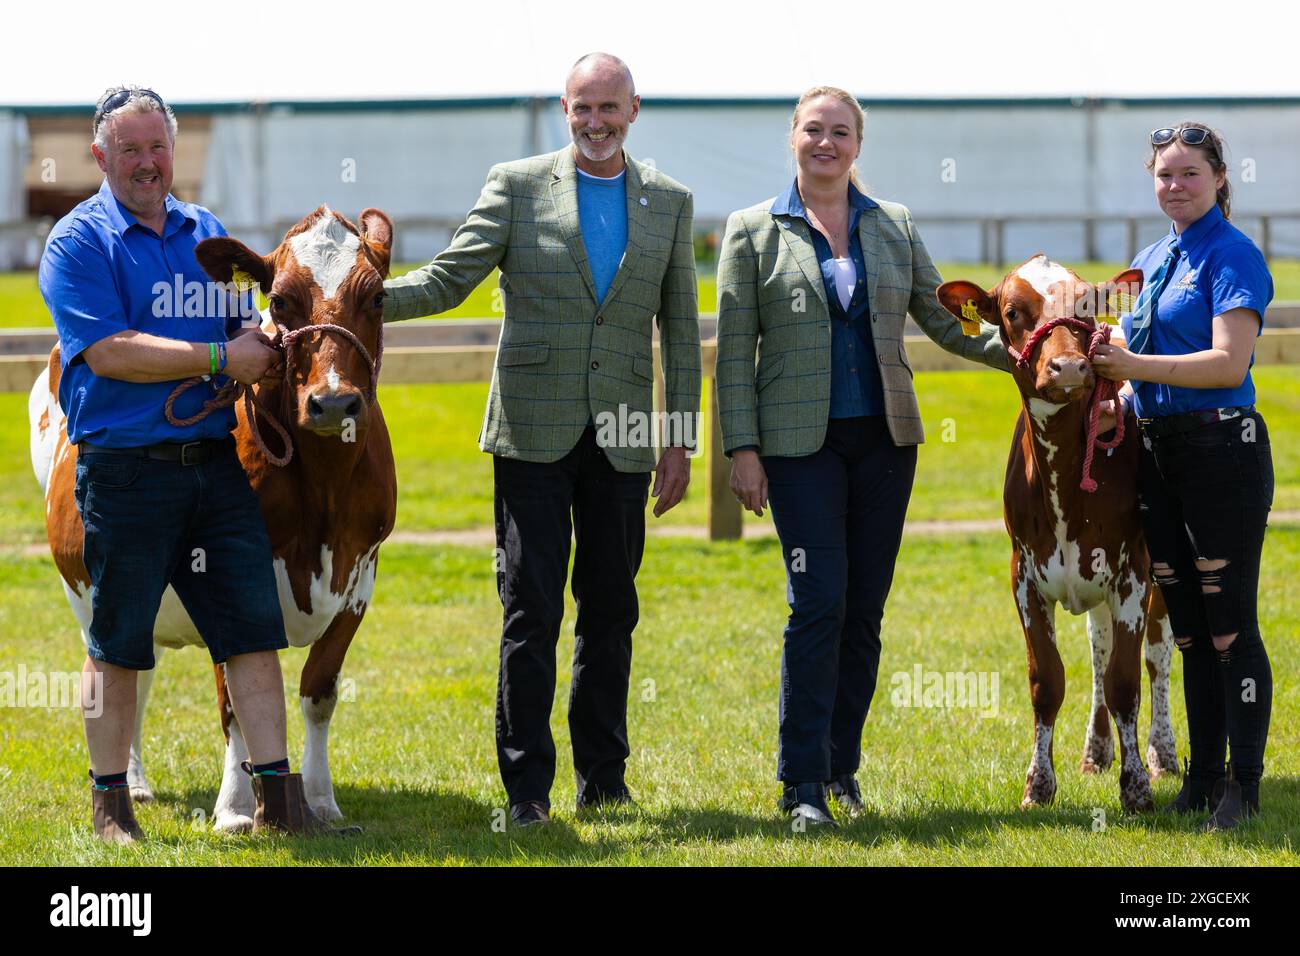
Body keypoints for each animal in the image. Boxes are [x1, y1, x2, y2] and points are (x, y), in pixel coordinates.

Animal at [29, 208, 395, 832]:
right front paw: (235, 808)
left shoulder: (359, 578)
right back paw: (131, 783)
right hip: (90, 591)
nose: (333, 404)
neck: (323, 492)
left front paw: (320, 801)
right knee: (121, 673)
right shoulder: (224, 573)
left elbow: (318, 693)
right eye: (279, 300)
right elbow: (234, 705)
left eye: (376, 298)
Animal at [941, 257, 1185, 811]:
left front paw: (1136, 787)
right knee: (1098, 650)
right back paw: (1096, 750)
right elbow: (1048, 680)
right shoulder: (1025, 576)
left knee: (1157, 656)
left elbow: (1126, 682)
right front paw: (1038, 784)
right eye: (1012, 311)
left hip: (1159, 578)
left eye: (1087, 305)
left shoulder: (1132, 573)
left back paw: (1162, 752)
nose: (1070, 368)